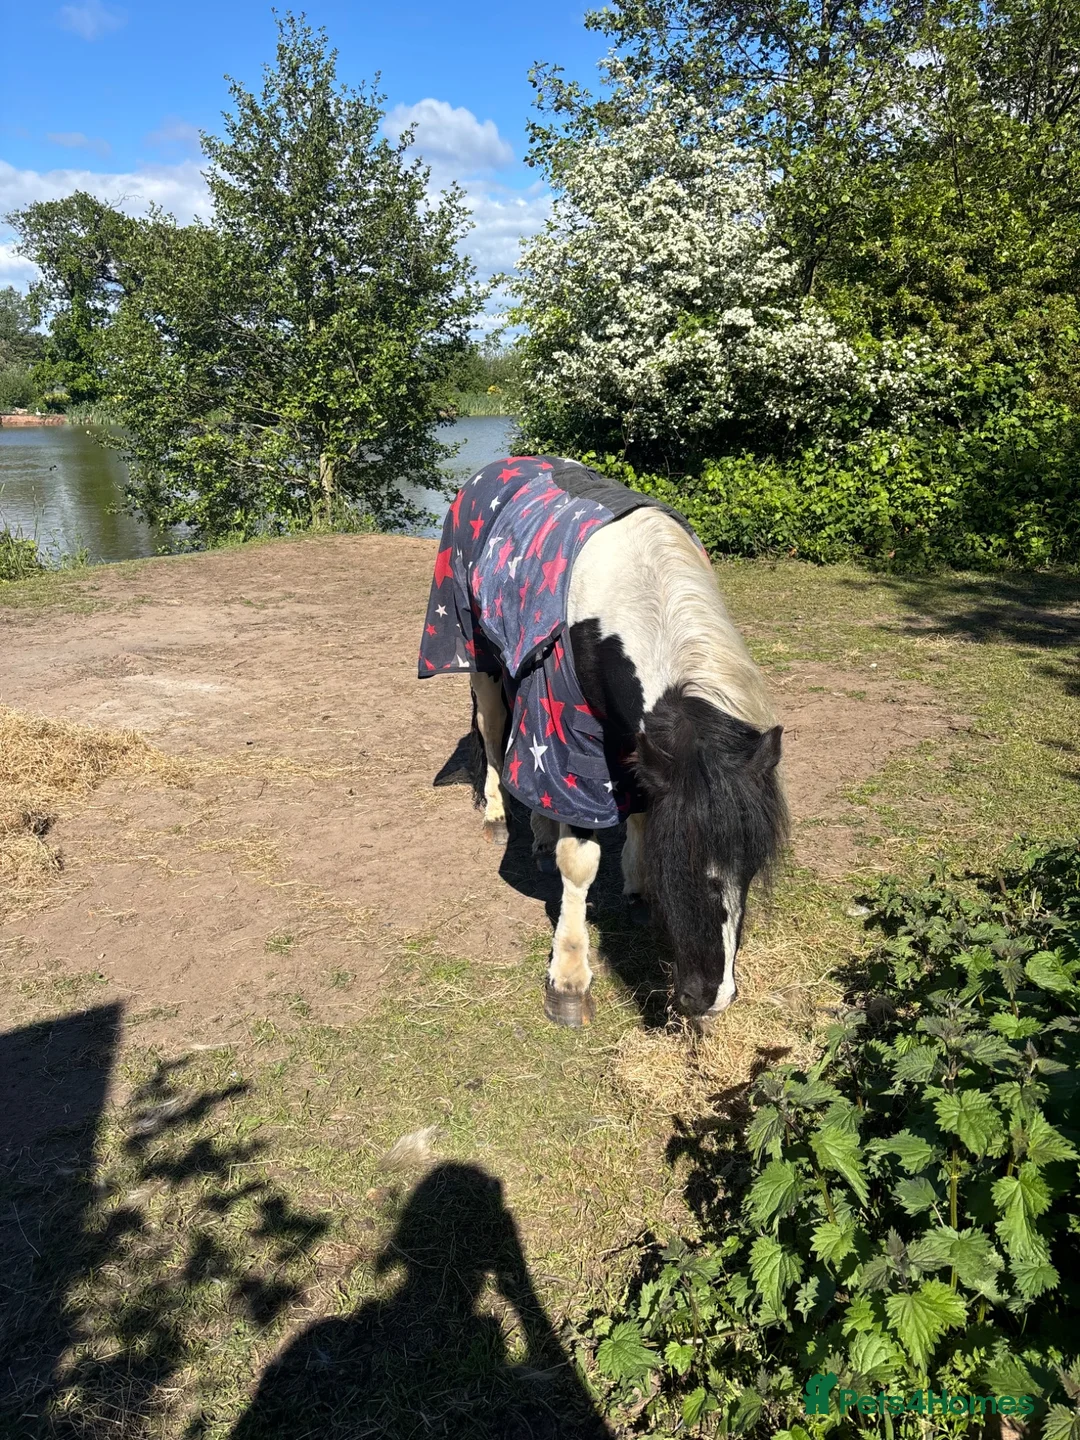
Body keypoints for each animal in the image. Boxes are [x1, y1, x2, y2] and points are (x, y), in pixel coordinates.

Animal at [418, 456, 788, 1029]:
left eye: (750, 867)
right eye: (675, 861)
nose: (710, 997)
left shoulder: (637, 742)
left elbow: (636, 808)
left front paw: (634, 889)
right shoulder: (571, 736)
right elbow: (579, 859)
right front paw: (569, 983)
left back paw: (540, 833)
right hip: (478, 652)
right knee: (496, 736)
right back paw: (499, 818)